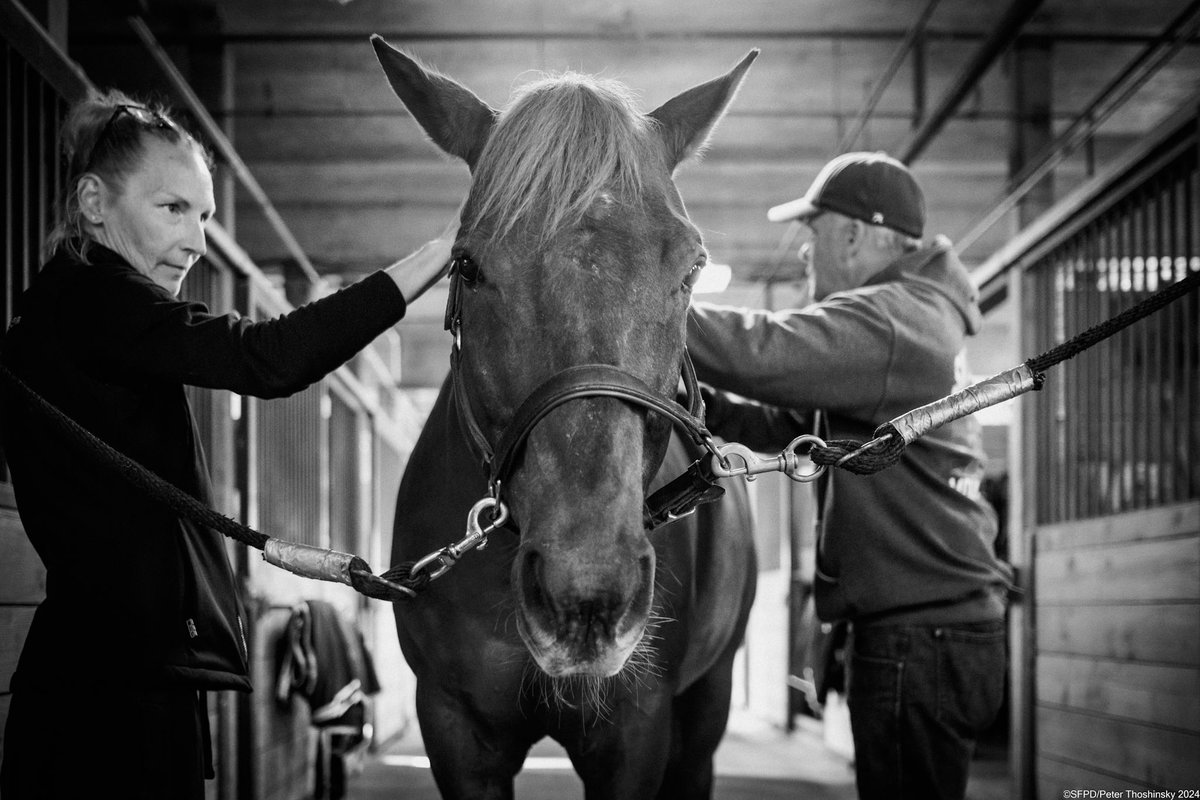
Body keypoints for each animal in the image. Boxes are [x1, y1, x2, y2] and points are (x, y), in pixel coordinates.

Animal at [379, 34, 758, 796]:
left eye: (692, 269)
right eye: (466, 266)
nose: (585, 596)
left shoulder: (636, 731)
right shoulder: (453, 726)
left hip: (709, 700)